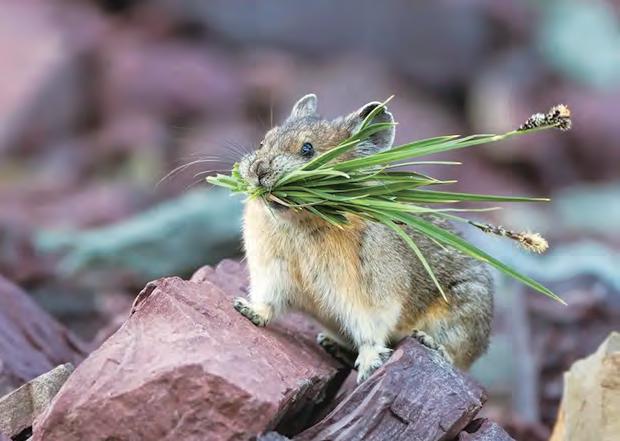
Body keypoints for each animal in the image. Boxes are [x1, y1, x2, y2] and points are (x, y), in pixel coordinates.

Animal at [234, 94, 494, 383]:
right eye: (263, 142)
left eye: (307, 149)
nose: (258, 170)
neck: (299, 224)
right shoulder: (272, 274)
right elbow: (268, 302)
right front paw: (246, 310)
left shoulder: (371, 294)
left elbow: (370, 331)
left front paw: (370, 365)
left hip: (461, 313)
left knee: (456, 357)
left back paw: (429, 342)